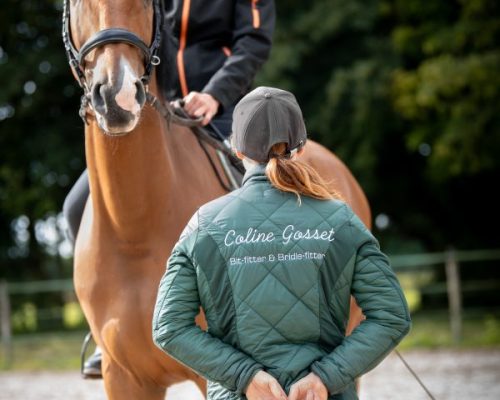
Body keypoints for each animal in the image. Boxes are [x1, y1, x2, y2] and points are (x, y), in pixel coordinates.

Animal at [61, 1, 368, 398]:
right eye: (76, 5)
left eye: (146, 5)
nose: (118, 97)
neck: (134, 228)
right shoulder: (124, 377)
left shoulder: (215, 374)